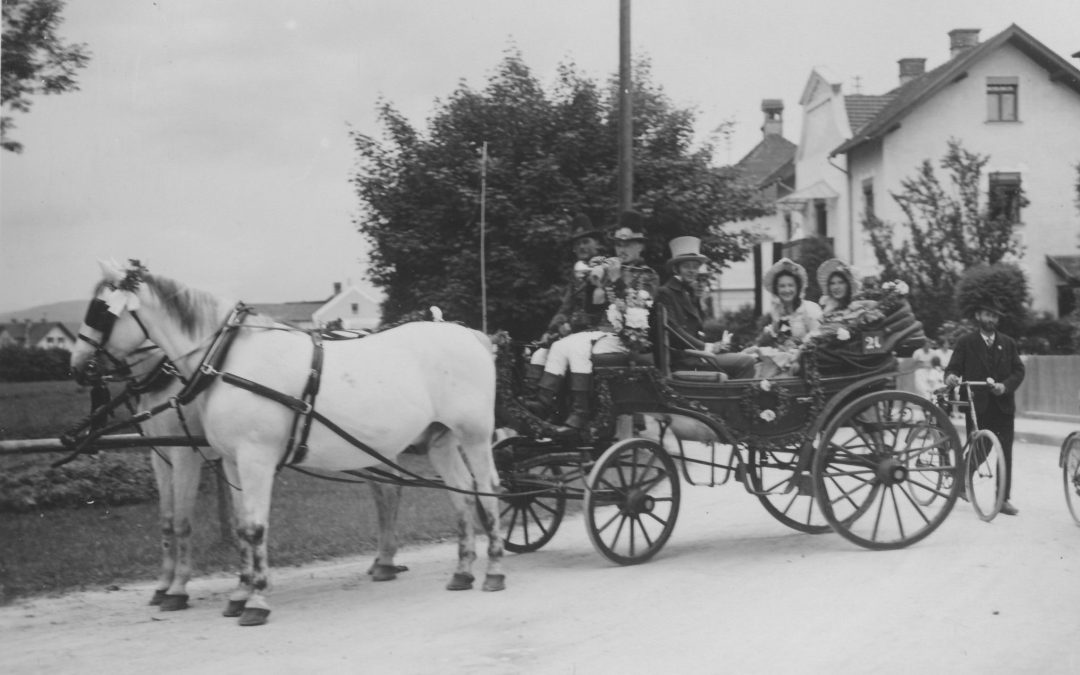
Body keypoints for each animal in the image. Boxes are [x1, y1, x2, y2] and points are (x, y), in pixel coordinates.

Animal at [71, 259, 501, 626]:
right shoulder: (224, 461)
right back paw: (460, 570)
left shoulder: (241, 457)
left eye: (100, 310)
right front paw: (238, 593)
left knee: (488, 491)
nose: (77, 367)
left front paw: (253, 600)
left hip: (474, 435)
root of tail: (471, 334)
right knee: (458, 496)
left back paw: (493, 569)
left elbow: (247, 526)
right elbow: (236, 526)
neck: (225, 360)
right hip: (437, 439)